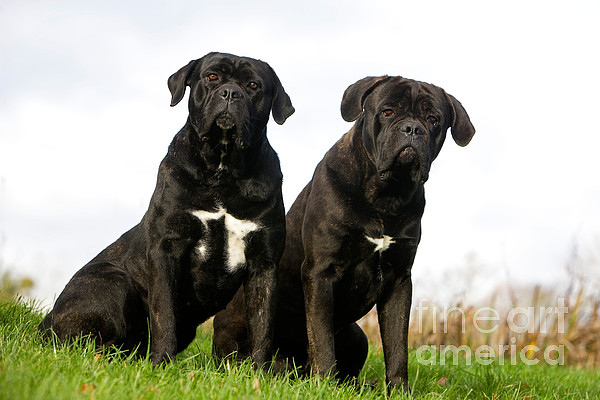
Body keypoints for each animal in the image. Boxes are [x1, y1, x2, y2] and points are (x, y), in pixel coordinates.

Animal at [38, 51, 296, 368]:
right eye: (212, 76)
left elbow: (262, 328)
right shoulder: (166, 248)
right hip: (112, 283)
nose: (230, 93)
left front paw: (258, 372)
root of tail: (45, 321)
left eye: (253, 85)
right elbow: (164, 315)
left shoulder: (264, 263)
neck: (223, 170)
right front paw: (161, 362)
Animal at [213, 74, 476, 390]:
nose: (412, 128)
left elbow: (397, 345)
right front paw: (323, 383)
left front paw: (398, 389)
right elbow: (322, 337)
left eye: (433, 119)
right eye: (388, 112)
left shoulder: (399, 280)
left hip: (356, 335)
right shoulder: (321, 272)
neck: (386, 196)